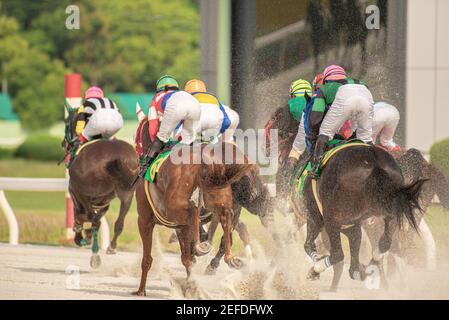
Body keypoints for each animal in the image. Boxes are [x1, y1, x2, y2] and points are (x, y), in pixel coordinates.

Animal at [61, 105, 138, 268]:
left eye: (66, 122)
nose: (63, 144)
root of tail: (118, 157)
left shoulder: (78, 195)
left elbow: (85, 216)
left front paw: (80, 234)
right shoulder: (103, 203)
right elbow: (96, 218)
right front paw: (86, 234)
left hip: (85, 193)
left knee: (93, 219)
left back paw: (93, 252)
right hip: (128, 195)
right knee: (119, 223)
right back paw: (111, 247)